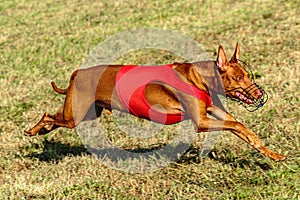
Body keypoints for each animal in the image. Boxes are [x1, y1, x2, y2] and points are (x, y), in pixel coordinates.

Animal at [25, 43, 286, 162]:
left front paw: (271, 154)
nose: (259, 93)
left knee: (54, 118)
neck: (199, 77)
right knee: (49, 116)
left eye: (248, 75)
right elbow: (236, 125)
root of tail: (77, 72)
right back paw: (34, 130)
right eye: (239, 77)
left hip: (91, 112)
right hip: (76, 115)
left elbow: (242, 129)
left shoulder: (215, 113)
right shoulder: (201, 121)